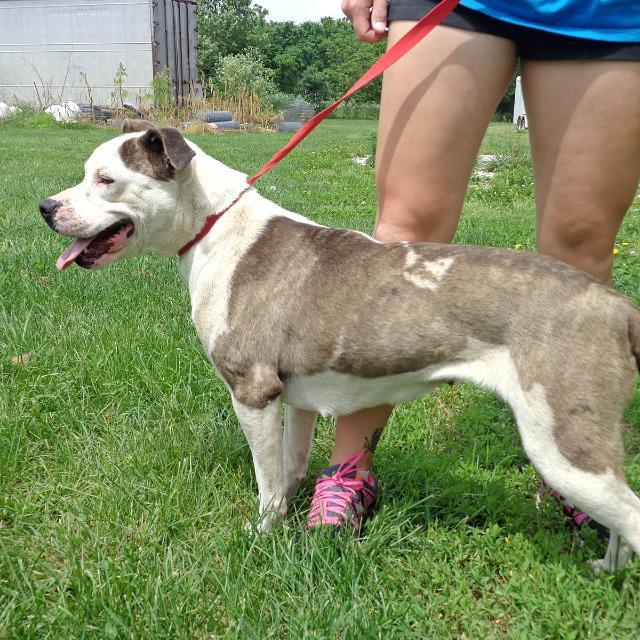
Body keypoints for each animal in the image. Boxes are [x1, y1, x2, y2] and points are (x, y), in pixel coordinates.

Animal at [40, 122, 640, 572]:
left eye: (106, 179)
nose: (46, 206)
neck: (215, 227)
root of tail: (615, 305)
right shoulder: (296, 399)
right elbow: (289, 467)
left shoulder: (252, 392)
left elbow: (265, 481)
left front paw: (261, 535)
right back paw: (604, 568)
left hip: (564, 447)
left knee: (629, 514)